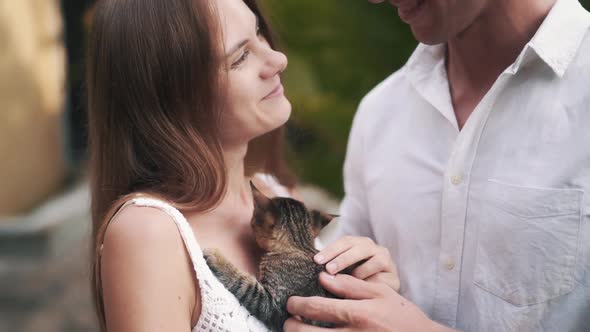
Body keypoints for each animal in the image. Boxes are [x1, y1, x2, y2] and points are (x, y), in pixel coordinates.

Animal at [206, 183, 338, 330]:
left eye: (253, 221)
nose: (250, 223)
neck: (298, 245)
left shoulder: (275, 307)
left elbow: (246, 285)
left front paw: (218, 258)